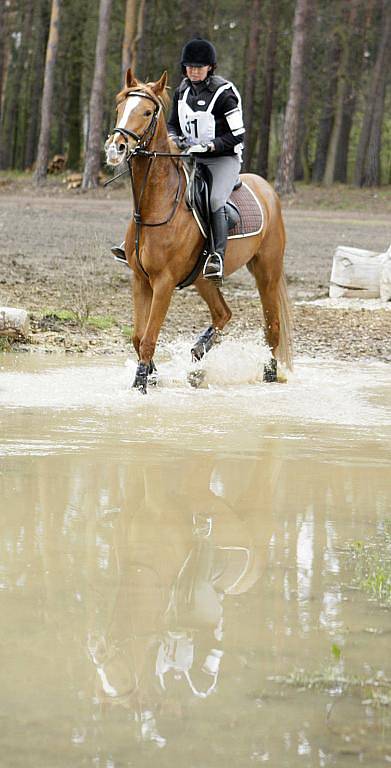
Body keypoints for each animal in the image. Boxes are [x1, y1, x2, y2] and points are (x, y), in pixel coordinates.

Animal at [105, 69, 294, 392]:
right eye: (121, 108)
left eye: (147, 112)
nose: (116, 148)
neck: (156, 205)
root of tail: (267, 189)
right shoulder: (140, 280)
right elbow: (138, 337)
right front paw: (152, 375)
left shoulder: (164, 283)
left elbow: (149, 338)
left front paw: (141, 384)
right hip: (203, 279)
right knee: (223, 313)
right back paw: (198, 355)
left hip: (266, 272)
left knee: (272, 327)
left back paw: (269, 374)